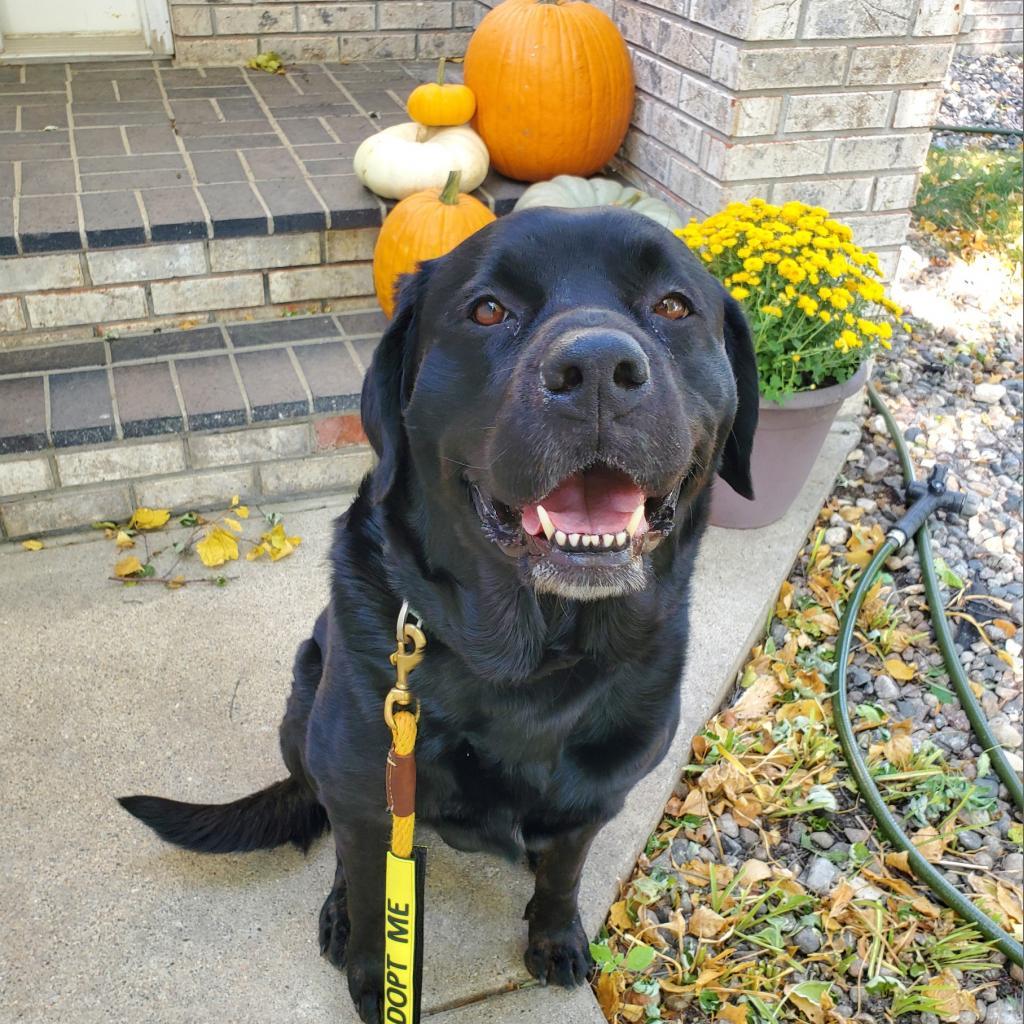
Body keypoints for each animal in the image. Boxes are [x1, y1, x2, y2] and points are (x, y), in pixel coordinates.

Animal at [121, 207, 761, 1024]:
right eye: (487, 310)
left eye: (675, 306)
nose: (596, 370)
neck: (534, 661)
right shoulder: (367, 789)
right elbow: (371, 890)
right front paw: (377, 978)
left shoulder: (594, 800)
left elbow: (564, 872)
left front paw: (555, 935)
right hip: (307, 699)